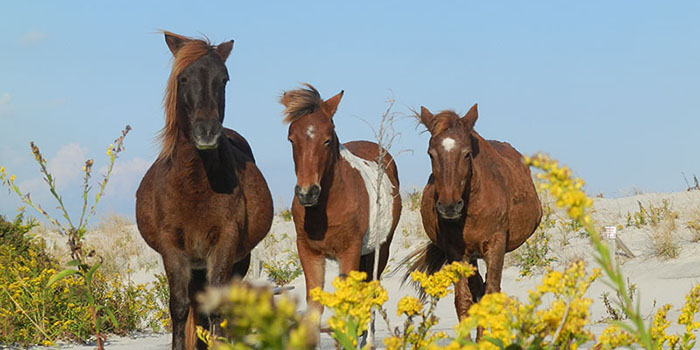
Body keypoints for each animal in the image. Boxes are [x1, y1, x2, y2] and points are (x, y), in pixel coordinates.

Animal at [135, 31, 274, 348]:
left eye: (224, 79)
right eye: (183, 78)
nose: (207, 131)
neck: (194, 185)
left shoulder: (224, 244)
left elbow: (218, 309)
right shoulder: (172, 248)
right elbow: (179, 307)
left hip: (238, 261)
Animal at [278, 84, 400, 320]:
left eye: (327, 140)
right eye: (291, 139)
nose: (307, 193)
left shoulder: (349, 251)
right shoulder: (309, 252)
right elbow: (315, 306)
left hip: (380, 250)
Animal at [404, 102, 540, 326]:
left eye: (467, 153)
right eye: (431, 154)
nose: (449, 206)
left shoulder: (496, 246)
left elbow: (491, 296)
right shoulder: (456, 252)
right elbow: (464, 300)